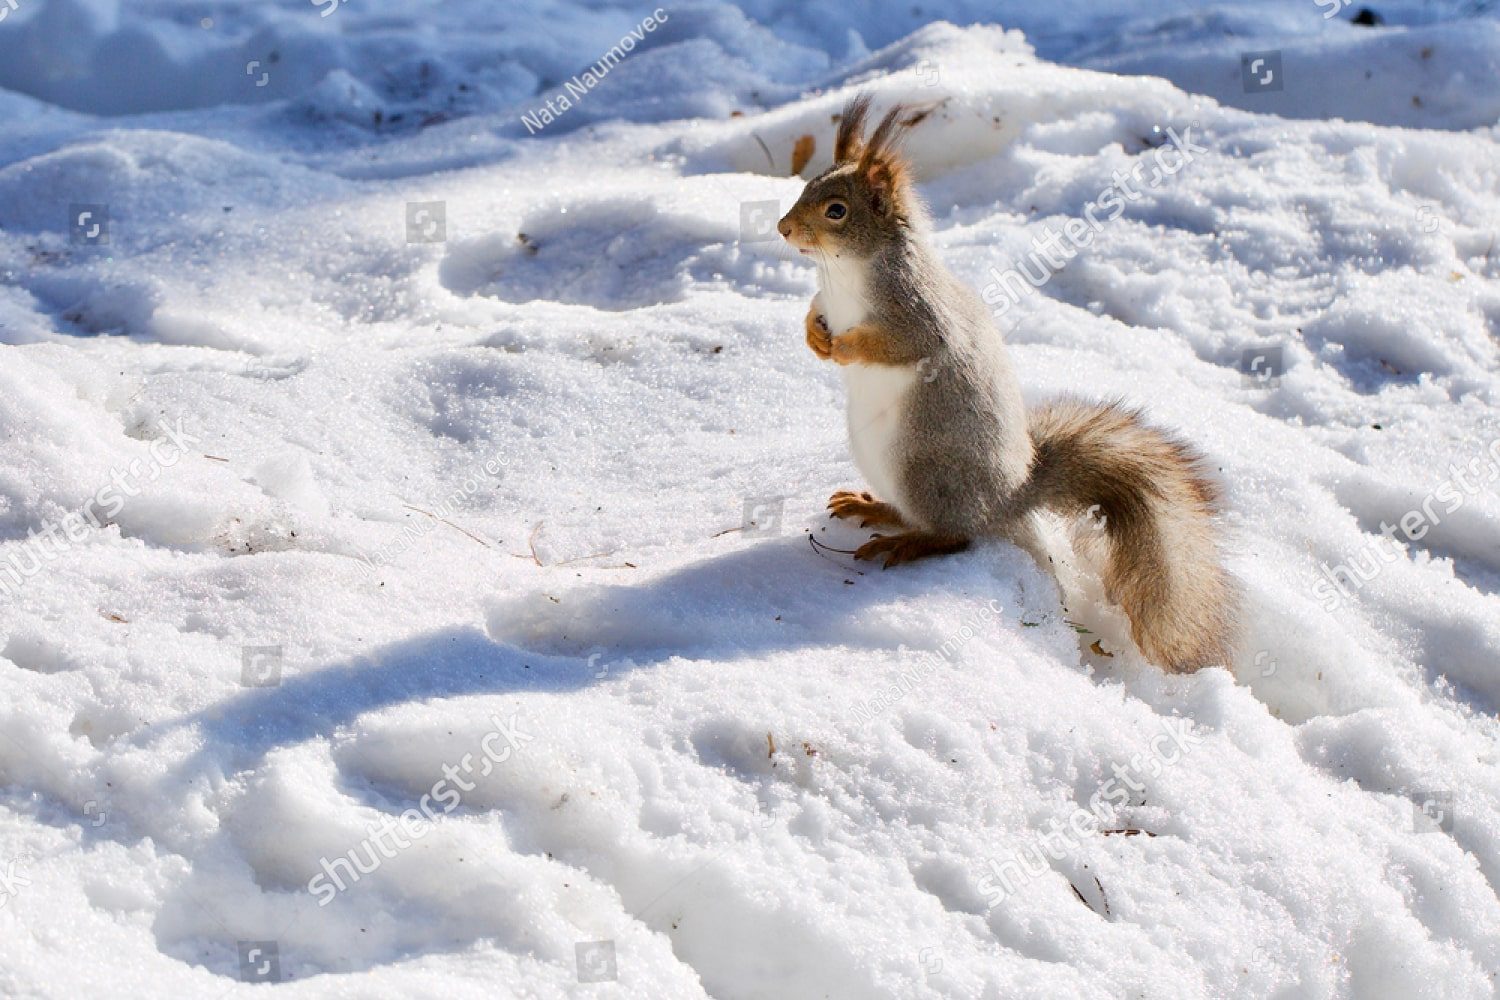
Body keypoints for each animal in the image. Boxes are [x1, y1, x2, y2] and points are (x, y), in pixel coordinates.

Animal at [776, 94, 1237, 672]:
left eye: (836, 210)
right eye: (807, 187)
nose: (782, 228)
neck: (841, 274)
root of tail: (1009, 496)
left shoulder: (917, 315)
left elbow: (900, 346)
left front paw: (842, 349)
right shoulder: (827, 299)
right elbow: (812, 312)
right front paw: (815, 337)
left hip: (925, 471)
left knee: (956, 534)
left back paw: (908, 544)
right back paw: (873, 507)